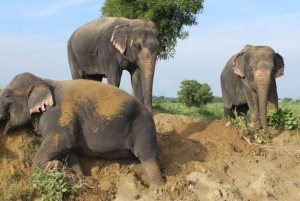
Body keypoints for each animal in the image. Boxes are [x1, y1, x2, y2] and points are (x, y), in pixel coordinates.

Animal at [0, 72, 164, 187]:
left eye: (7, 95)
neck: (41, 80)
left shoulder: (57, 113)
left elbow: (63, 140)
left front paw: (55, 166)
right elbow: (69, 148)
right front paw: (79, 175)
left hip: (143, 126)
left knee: (147, 156)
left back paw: (158, 188)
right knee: (130, 161)